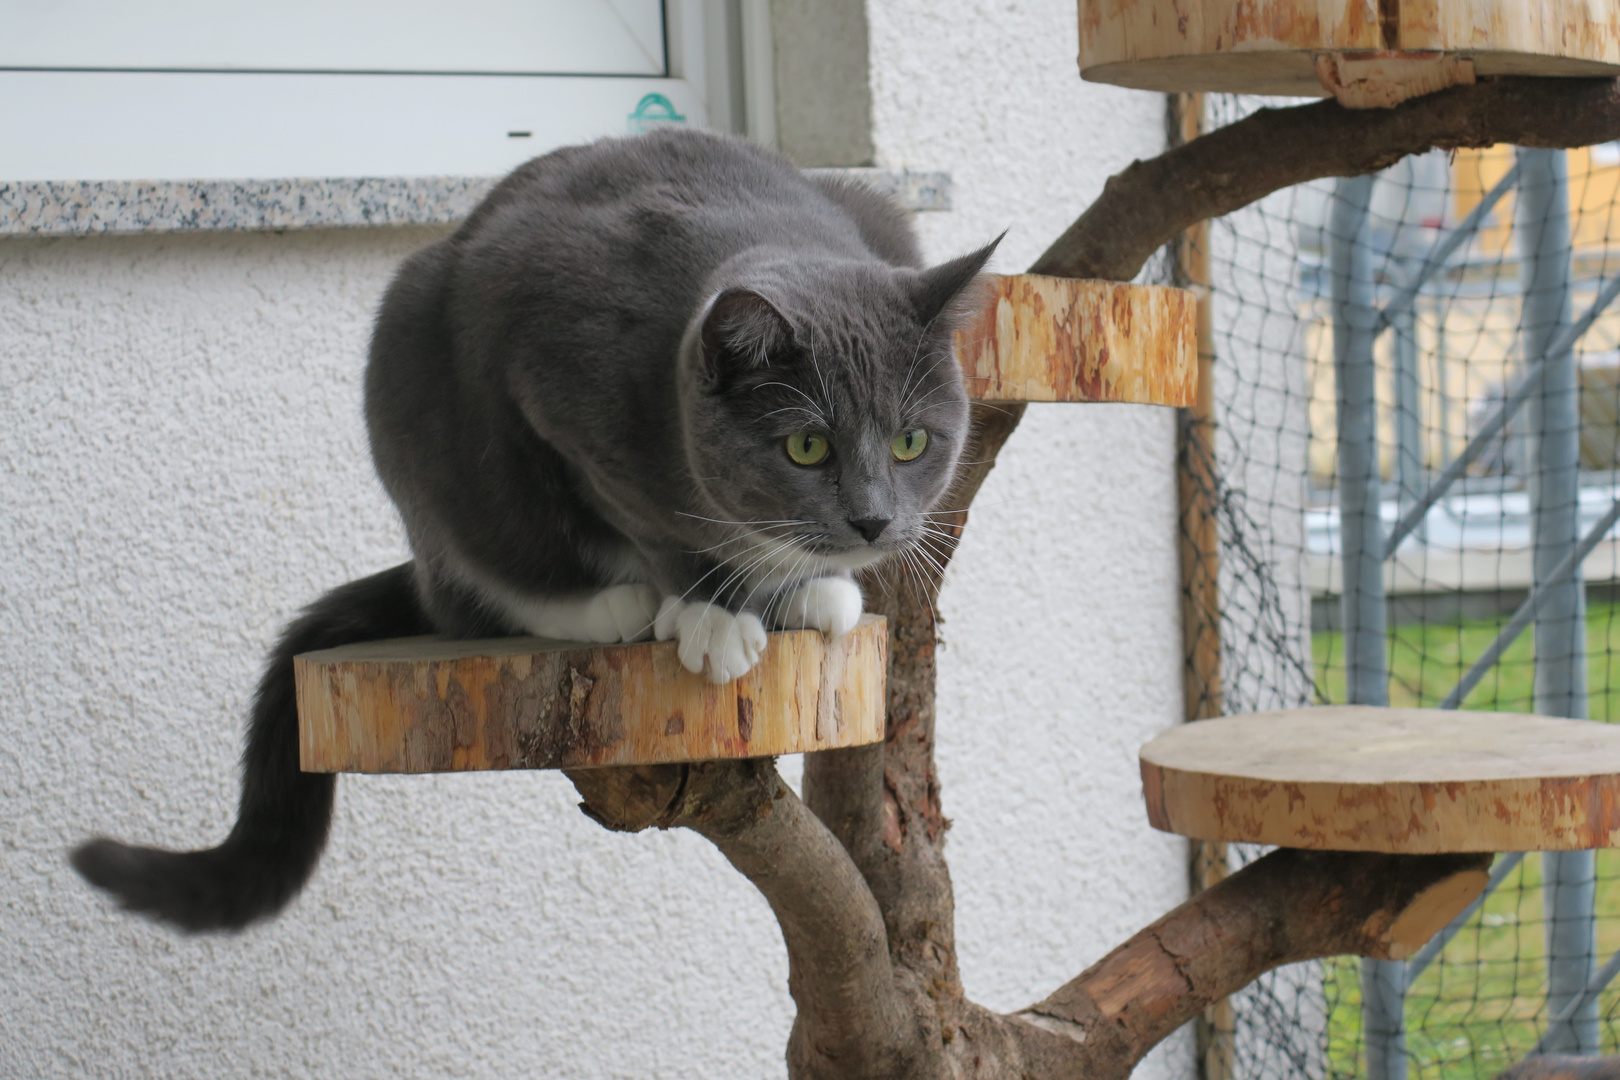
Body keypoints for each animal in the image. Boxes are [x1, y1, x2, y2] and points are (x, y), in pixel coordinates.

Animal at [69, 131, 991, 932]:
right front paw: (713, 614)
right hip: (424, 396)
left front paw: (810, 590)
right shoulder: (556, 375)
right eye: (807, 446)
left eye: (912, 443)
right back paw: (611, 606)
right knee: (477, 588)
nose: (872, 518)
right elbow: (653, 524)